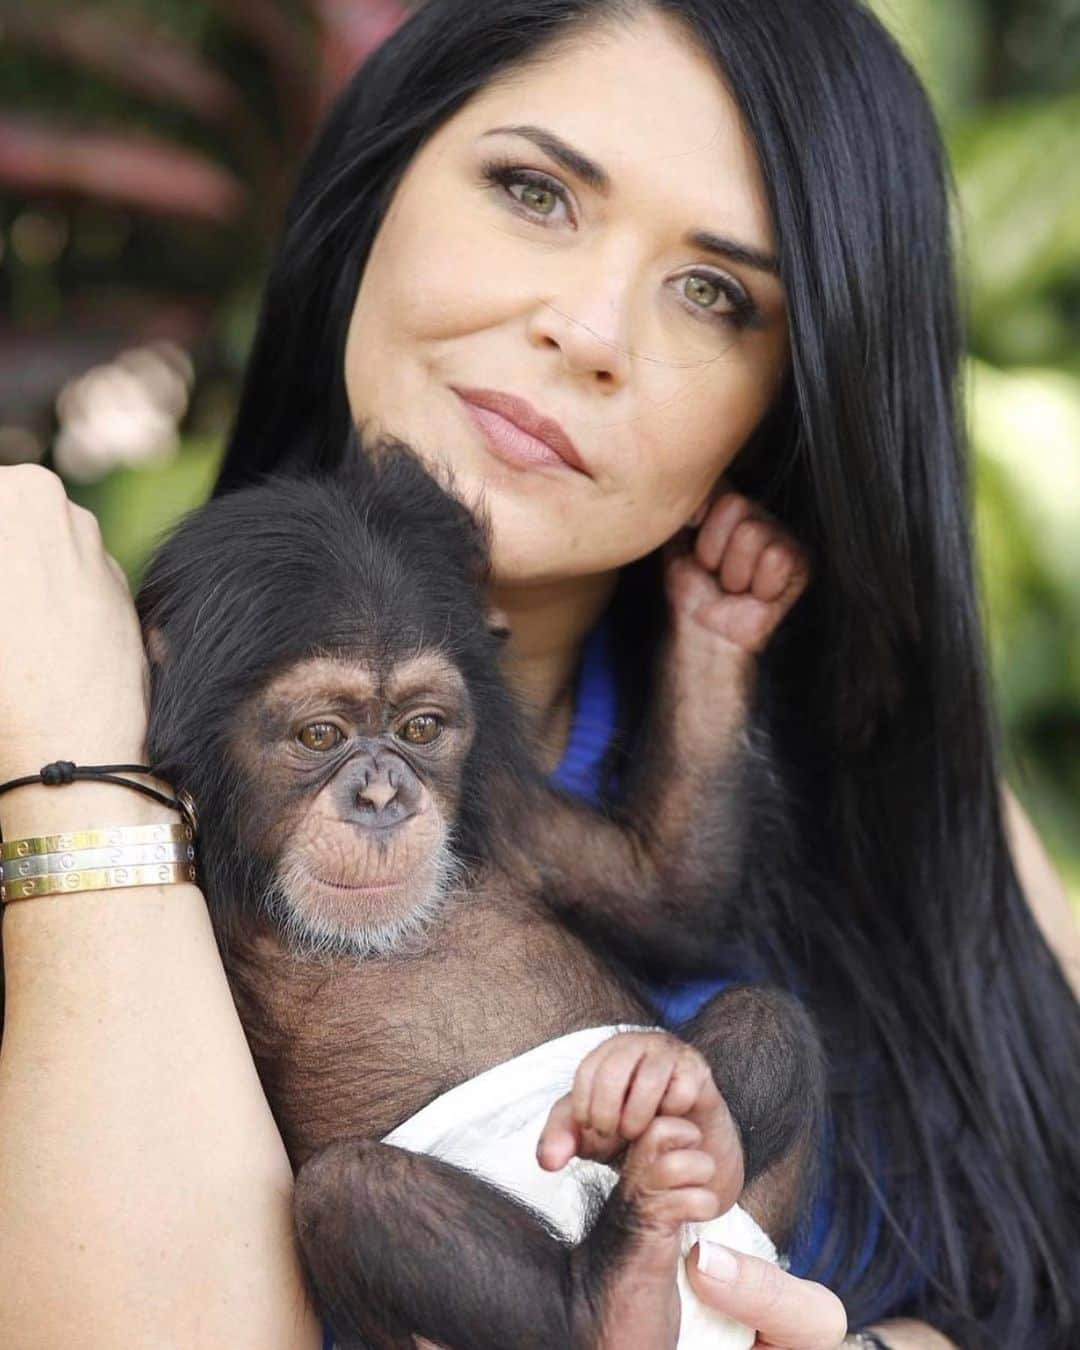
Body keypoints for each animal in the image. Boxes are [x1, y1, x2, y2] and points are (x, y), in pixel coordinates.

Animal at [139, 437, 820, 1344]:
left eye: (421, 726)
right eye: (322, 733)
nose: (382, 793)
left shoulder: (510, 805)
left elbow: (667, 891)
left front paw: (726, 598)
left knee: (764, 1016)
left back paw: (670, 1114)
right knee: (354, 1192)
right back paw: (616, 1291)